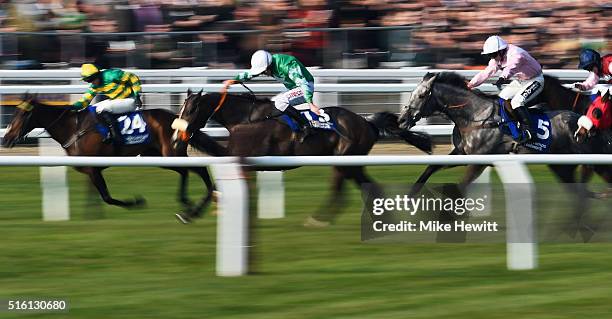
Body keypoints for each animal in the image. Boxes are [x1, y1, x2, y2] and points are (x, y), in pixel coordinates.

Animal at [170, 90, 432, 225]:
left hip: (348, 161)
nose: (177, 137)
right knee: (351, 189)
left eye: (191, 109)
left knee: (356, 188)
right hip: (344, 163)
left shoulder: (245, 160)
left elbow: (215, 186)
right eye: (181, 108)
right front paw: (193, 212)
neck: (246, 119)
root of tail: (367, 123)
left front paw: (189, 213)